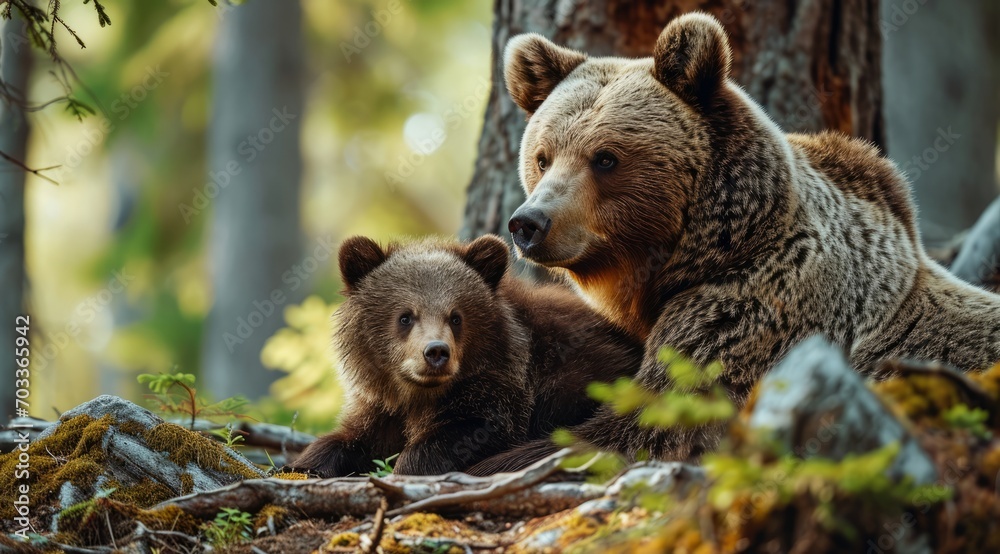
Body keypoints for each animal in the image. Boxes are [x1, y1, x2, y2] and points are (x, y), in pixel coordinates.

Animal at [290, 234, 642, 476]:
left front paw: (405, 467)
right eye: (405, 316)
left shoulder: (499, 395)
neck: (417, 396)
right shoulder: (380, 408)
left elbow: (463, 435)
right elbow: (346, 440)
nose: (436, 352)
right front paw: (305, 464)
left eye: (456, 316)